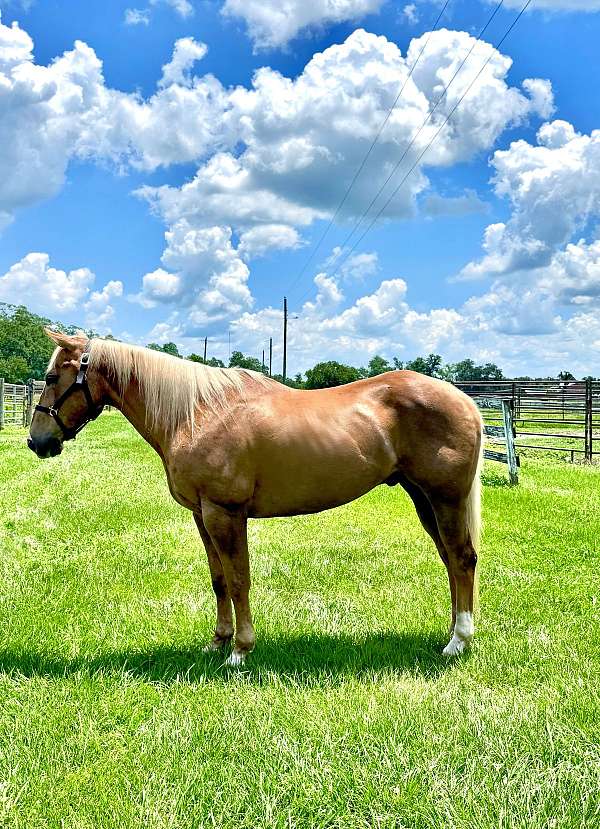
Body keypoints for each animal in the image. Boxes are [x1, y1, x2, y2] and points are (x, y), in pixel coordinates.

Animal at [28, 330, 483, 666]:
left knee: (462, 558)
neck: (197, 414)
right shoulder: (202, 515)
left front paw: (240, 651)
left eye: (51, 378)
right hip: (423, 498)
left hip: (445, 497)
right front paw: (217, 641)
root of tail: (465, 400)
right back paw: (451, 633)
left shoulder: (225, 514)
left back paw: (458, 641)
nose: (37, 442)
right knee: (449, 560)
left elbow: (238, 579)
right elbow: (218, 580)